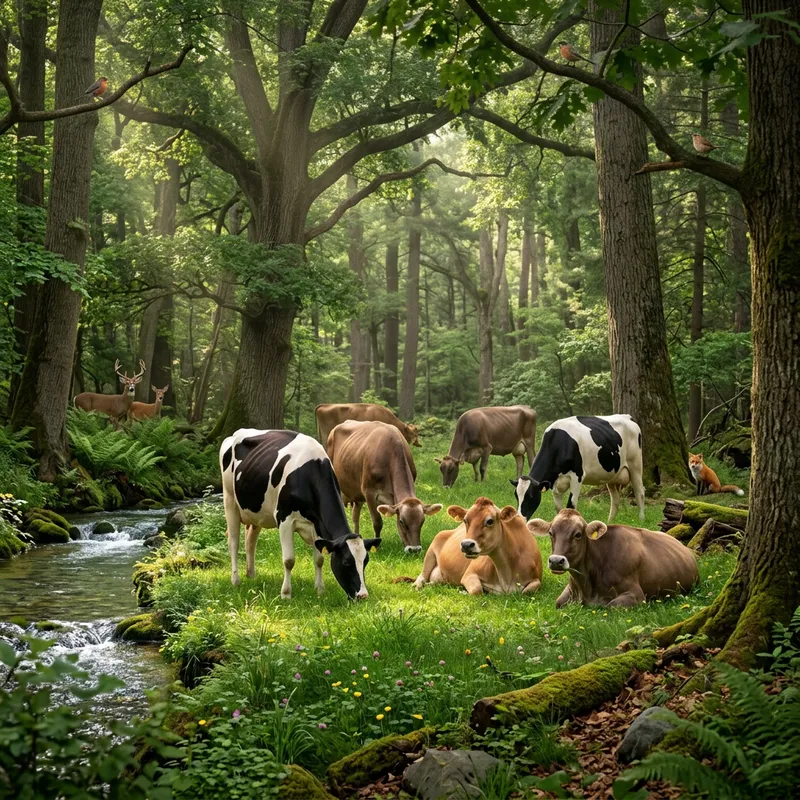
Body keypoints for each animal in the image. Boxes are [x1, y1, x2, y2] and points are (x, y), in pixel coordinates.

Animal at [219, 429, 381, 599]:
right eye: (346, 562)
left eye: (366, 561)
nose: (363, 595)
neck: (309, 475)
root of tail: (237, 433)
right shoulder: (285, 520)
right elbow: (289, 560)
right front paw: (286, 594)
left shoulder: (317, 524)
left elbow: (319, 559)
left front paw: (320, 589)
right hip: (230, 500)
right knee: (233, 542)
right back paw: (236, 580)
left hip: (256, 511)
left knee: (251, 540)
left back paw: (251, 575)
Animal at [327, 420, 442, 553]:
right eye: (402, 521)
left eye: (422, 521)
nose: (414, 549)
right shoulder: (369, 492)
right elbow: (377, 521)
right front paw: (377, 546)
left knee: (355, 515)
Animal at [412, 497, 542, 595]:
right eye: (465, 520)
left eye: (490, 521)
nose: (466, 545)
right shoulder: (469, 574)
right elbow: (477, 590)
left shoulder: (536, 579)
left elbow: (527, 590)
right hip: (431, 549)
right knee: (422, 576)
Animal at [511, 414, 645, 523]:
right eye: (516, 496)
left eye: (530, 496)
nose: (519, 518)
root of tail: (628, 417)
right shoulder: (555, 483)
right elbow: (559, 508)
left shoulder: (577, 476)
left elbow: (571, 505)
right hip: (612, 475)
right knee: (615, 499)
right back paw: (609, 523)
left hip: (635, 465)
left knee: (640, 492)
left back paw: (641, 520)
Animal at [528, 509, 698, 608]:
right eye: (551, 533)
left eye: (578, 534)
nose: (556, 561)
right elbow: (558, 602)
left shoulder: (636, 594)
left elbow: (611, 605)